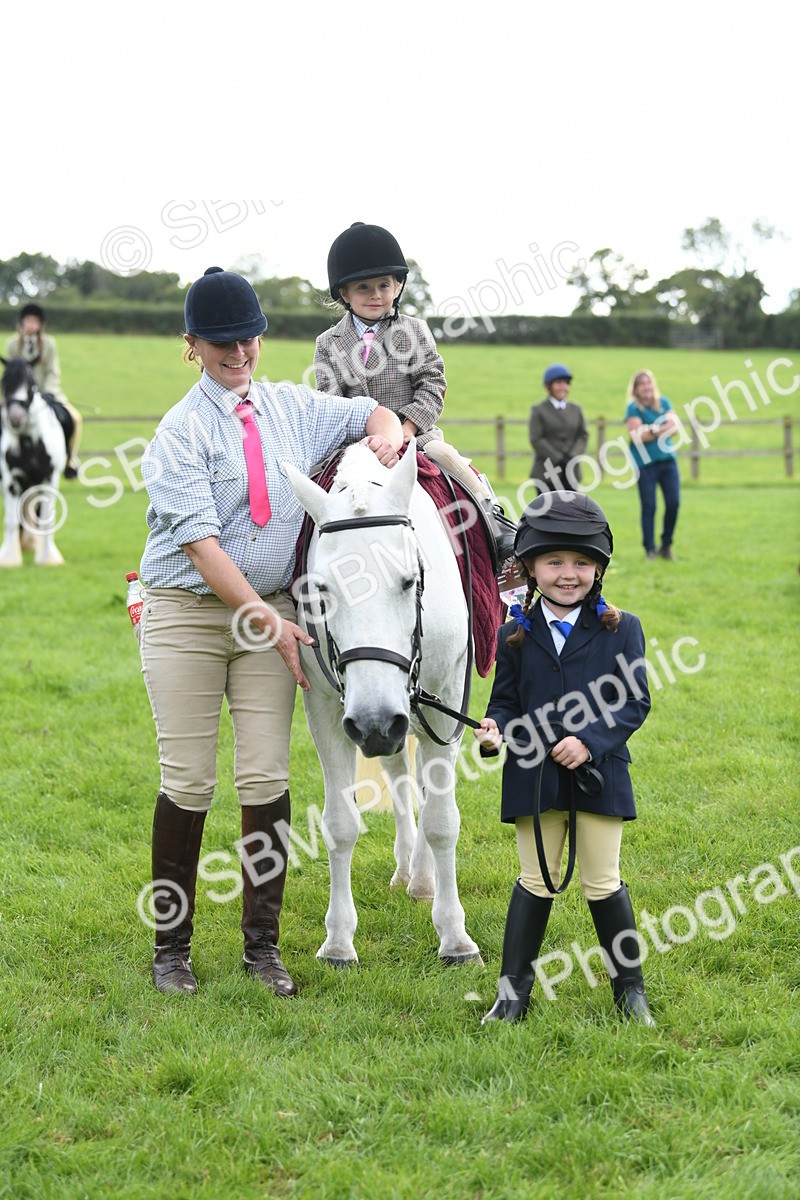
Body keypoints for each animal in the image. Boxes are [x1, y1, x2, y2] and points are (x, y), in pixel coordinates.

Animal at [0, 356, 69, 566]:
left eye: (31, 385)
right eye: (4, 382)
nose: (15, 418)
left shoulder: (49, 478)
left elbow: (46, 518)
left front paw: (48, 558)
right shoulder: (11, 481)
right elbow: (11, 520)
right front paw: (9, 558)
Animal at [284, 441, 482, 967]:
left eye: (409, 581)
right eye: (321, 589)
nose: (375, 724)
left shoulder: (444, 703)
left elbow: (442, 822)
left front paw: (455, 937)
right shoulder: (330, 711)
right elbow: (340, 824)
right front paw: (338, 940)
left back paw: (425, 878)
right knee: (400, 777)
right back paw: (409, 869)